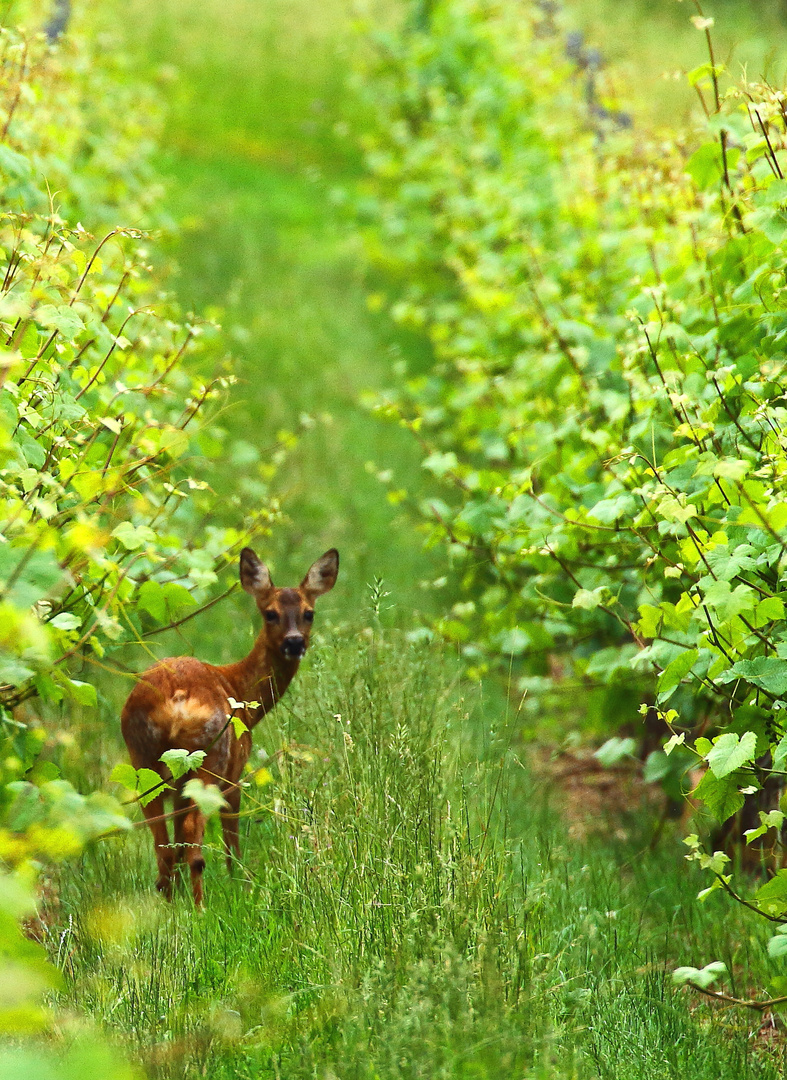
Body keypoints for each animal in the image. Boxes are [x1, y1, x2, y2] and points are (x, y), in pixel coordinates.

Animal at [120, 548, 336, 902]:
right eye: (270, 614)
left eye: (309, 613)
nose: (294, 643)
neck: (240, 690)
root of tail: (176, 697)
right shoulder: (235, 774)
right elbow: (231, 841)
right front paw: (242, 887)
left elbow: (176, 841)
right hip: (211, 756)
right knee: (192, 837)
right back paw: (200, 905)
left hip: (145, 760)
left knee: (163, 843)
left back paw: (170, 899)